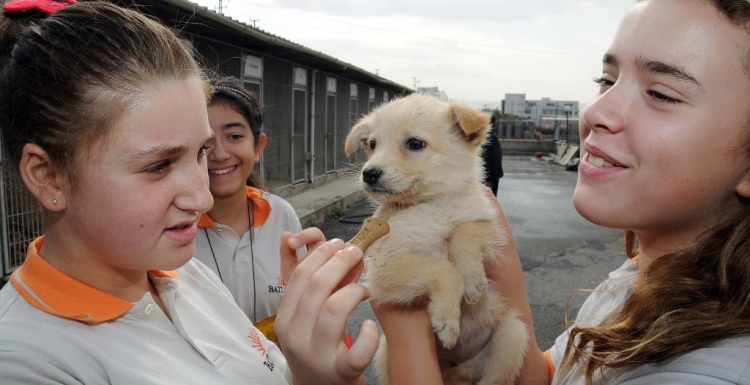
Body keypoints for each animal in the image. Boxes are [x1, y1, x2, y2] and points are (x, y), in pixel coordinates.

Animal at [346, 93, 528, 384]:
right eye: (373, 144)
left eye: (415, 143)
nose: (368, 174)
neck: (431, 205)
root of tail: (459, 369)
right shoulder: (384, 270)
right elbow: (443, 269)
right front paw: (448, 318)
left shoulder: (493, 229)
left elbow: (464, 232)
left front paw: (472, 280)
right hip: (385, 352)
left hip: (513, 335)